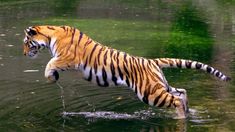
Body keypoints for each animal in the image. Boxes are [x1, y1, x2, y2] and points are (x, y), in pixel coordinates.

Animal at [22, 25, 231, 118]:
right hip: (160, 85)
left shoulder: (66, 57)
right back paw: (187, 113)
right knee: (182, 92)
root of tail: (152, 61)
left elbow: (49, 64)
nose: (24, 53)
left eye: (26, 42)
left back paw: (181, 115)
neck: (51, 34)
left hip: (150, 93)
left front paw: (51, 77)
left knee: (177, 99)